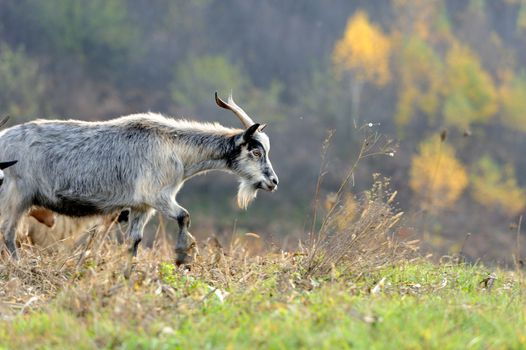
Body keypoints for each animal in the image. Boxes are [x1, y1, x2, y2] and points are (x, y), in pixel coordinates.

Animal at [0, 93, 280, 262]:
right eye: (256, 151)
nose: (273, 182)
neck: (175, 148)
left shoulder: (141, 206)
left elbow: (134, 241)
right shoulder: (157, 196)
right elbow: (184, 216)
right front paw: (182, 256)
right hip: (15, 197)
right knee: (7, 233)